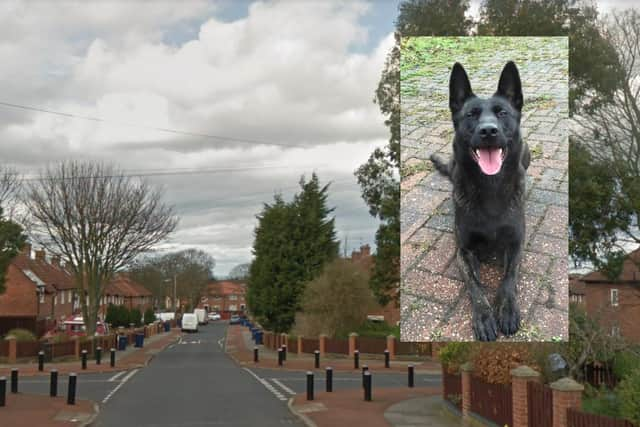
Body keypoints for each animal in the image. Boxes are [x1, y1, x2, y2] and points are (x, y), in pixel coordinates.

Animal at [430, 61, 528, 342]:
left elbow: (509, 278)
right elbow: (475, 285)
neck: (490, 188)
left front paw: (507, 310)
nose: (488, 131)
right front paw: (484, 317)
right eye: (471, 115)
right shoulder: (463, 251)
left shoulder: (517, 244)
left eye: (502, 113)